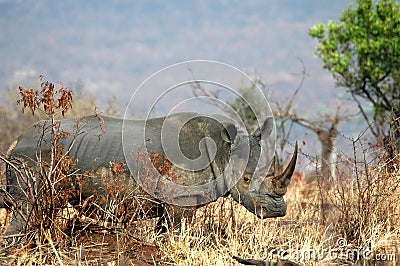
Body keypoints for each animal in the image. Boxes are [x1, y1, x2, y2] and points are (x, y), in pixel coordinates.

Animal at [0, 113, 296, 236]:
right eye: (245, 180)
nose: (278, 210)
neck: (222, 149)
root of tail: (17, 140)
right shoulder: (181, 200)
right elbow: (177, 234)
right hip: (35, 156)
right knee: (29, 210)